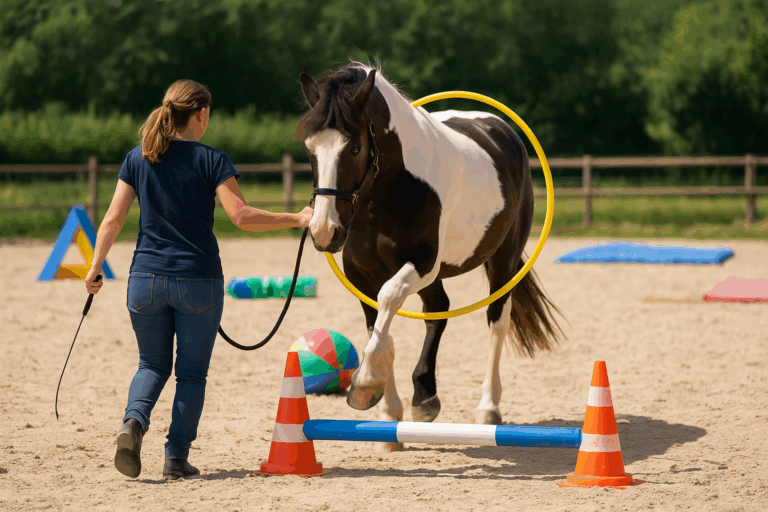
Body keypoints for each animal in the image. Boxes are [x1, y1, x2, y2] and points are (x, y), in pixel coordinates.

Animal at [296, 62, 563, 451]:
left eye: (356, 148)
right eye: (310, 150)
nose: (324, 230)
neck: (390, 191)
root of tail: (501, 132)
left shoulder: (422, 263)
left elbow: (388, 299)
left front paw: (365, 382)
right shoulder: (361, 272)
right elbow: (378, 327)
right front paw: (387, 414)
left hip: (503, 261)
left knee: (496, 321)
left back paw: (488, 408)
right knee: (438, 310)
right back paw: (425, 396)